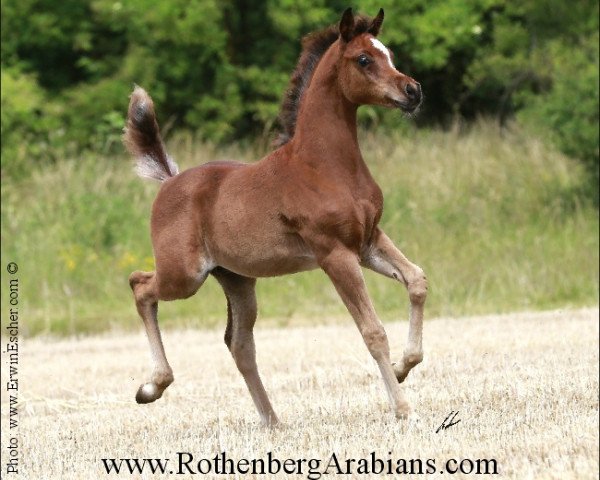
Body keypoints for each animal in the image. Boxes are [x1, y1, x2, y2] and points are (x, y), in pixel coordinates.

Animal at [124, 7, 428, 426]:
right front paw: (403, 409)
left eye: (390, 54)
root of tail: (169, 181)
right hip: (184, 275)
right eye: (364, 59)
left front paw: (403, 366)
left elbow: (417, 281)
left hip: (236, 280)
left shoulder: (368, 240)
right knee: (140, 286)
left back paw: (271, 421)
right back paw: (152, 386)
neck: (325, 166)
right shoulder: (335, 254)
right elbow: (373, 331)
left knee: (239, 344)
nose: (413, 92)